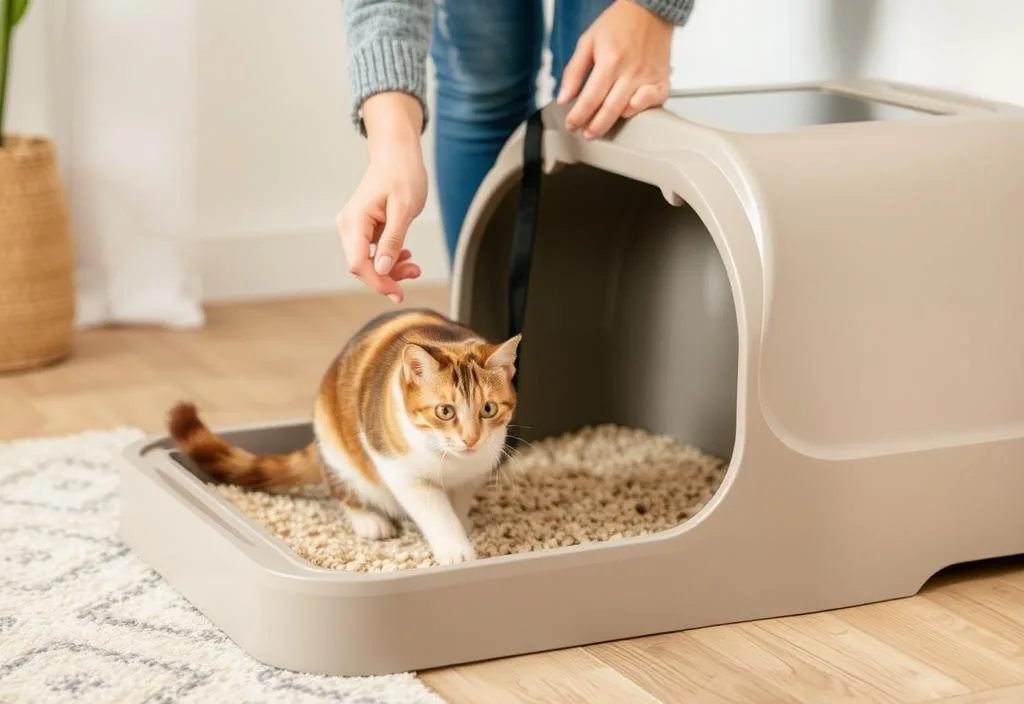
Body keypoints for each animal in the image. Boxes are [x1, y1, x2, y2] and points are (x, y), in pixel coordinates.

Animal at [168, 306, 524, 564]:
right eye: (445, 411)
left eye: (488, 409)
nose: (471, 439)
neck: (449, 460)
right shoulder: (402, 471)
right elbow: (436, 512)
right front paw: (455, 548)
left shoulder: (473, 473)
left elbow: (459, 502)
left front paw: (463, 523)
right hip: (338, 453)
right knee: (343, 490)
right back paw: (369, 520)